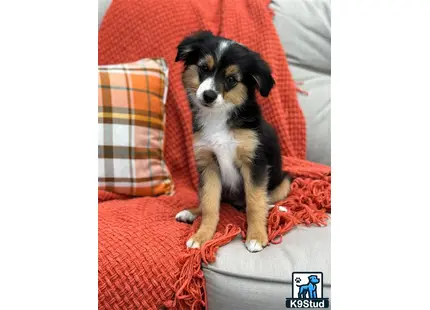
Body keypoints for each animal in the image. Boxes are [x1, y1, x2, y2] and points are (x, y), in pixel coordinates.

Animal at [175, 30, 292, 252]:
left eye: (231, 79)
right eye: (204, 68)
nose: (209, 95)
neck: (218, 117)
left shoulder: (254, 163)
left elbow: (255, 202)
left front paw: (256, 236)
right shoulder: (208, 164)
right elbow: (210, 204)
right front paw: (202, 236)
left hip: (284, 181)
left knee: (266, 199)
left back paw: (275, 208)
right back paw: (191, 212)